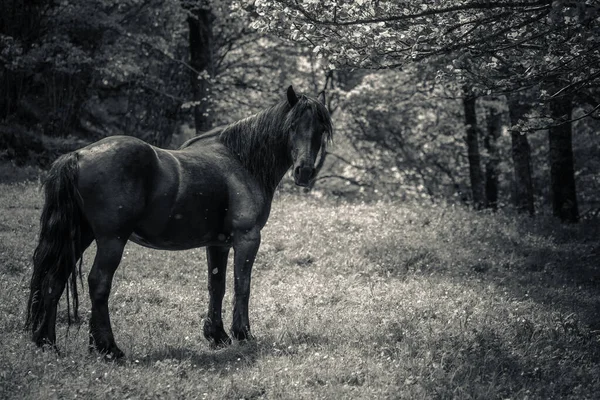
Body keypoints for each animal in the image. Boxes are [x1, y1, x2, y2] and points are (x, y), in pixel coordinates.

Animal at [24, 85, 332, 360]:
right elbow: (241, 284)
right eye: (292, 127)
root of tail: (77, 156)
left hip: (80, 236)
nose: (304, 172)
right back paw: (109, 348)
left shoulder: (218, 244)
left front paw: (217, 335)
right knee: (98, 283)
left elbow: (217, 285)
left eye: (319, 130)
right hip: (112, 240)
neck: (241, 162)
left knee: (54, 280)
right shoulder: (247, 237)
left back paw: (47, 343)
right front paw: (242, 334)